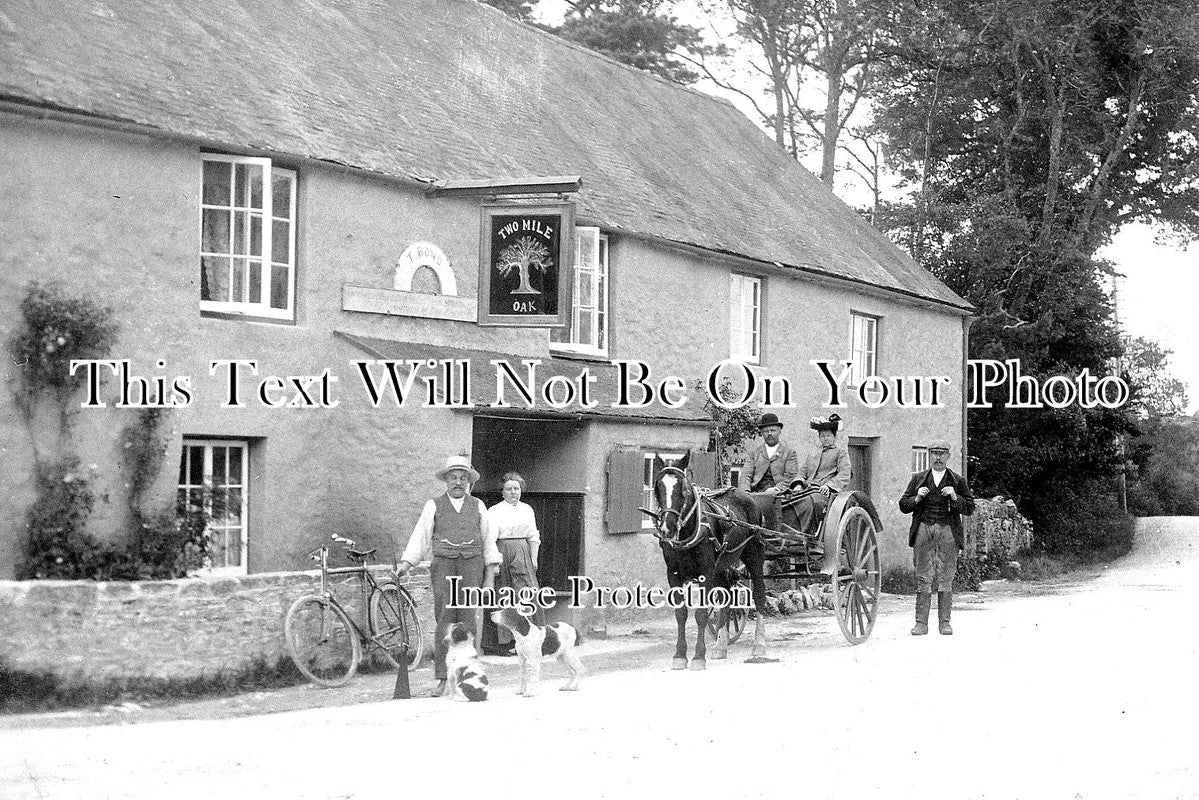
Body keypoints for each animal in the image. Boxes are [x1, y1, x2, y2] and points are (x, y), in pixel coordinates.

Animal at [642, 450, 772, 671]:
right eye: (657, 488)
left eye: (683, 489)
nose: (667, 528)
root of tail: (748, 497)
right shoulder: (673, 575)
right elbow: (681, 614)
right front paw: (679, 656)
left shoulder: (705, 573)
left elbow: (701, 615)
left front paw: (698, 657)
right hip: (720, 567)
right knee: (726, 595)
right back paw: (720, 646)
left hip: (754, 554)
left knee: (759, 594)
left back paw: (759, 645)